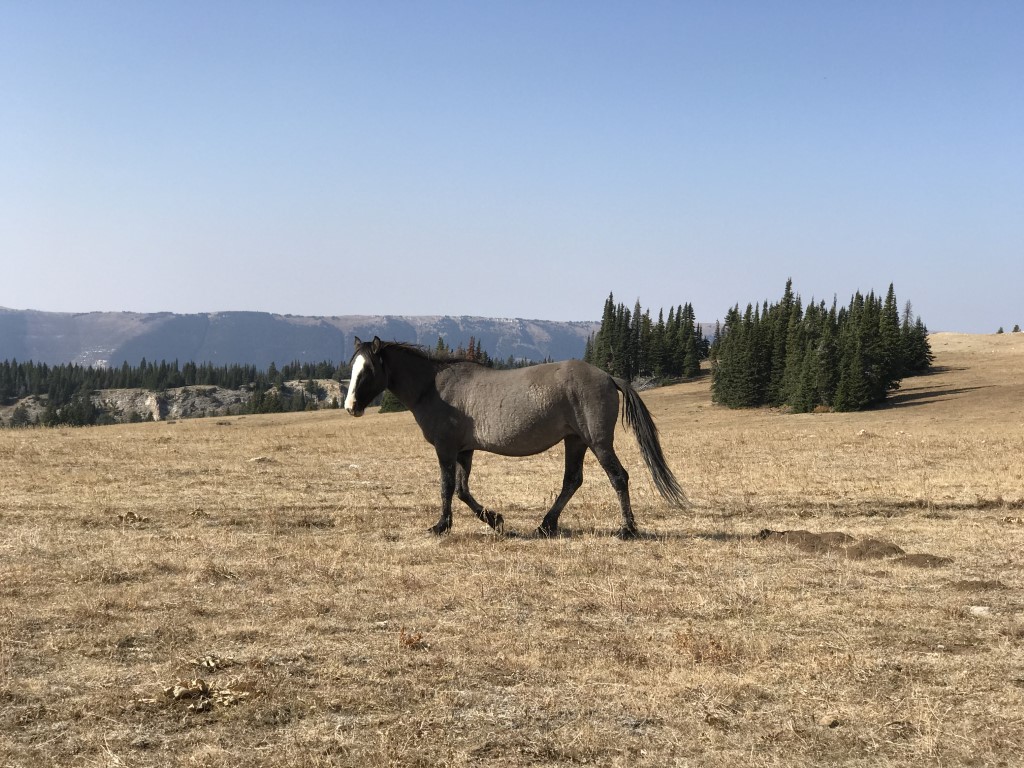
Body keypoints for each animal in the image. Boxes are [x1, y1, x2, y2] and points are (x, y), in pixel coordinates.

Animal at [344, 335, 688, 540]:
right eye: (352, 367)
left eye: (368, 370)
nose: (350, 407)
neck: (435, 387)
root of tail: (608, 376)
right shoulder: (464, 450)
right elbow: (462, 490)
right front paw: (495, 520)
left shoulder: (446, 448)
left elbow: (446, 488)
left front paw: (441, 526)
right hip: (575, 440)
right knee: (572, 481)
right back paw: (546, 525)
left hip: (597, 442)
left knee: (618, 477)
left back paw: (627, 529)